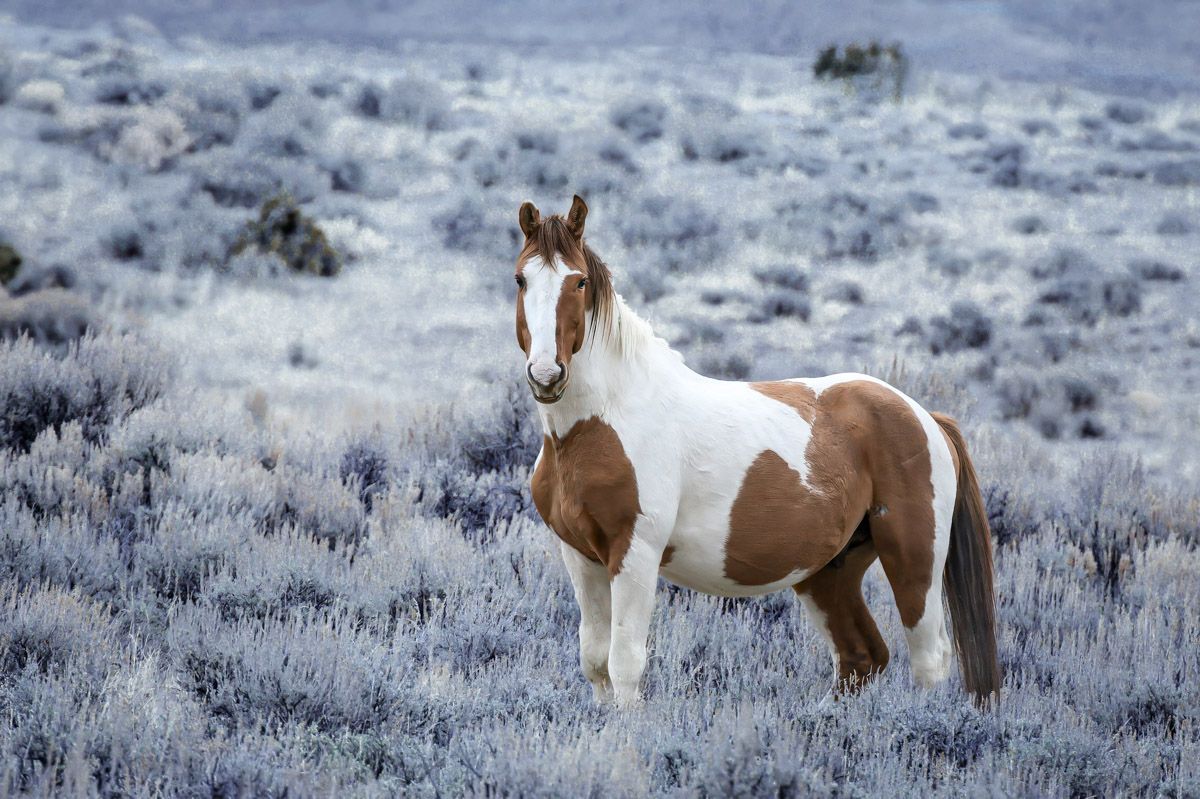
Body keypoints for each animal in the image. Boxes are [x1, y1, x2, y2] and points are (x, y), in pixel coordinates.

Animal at [513, 194, 1000, 707]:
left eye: (579, 281)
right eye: (521, 279)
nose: (546, 375)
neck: (605, 420)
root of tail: (926, 417)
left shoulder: (635, 553)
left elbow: (624, 665)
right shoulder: (581, 556)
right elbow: (595, 663)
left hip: (913, 557)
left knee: (928, 661)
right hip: (829, 572)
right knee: (862, 657)